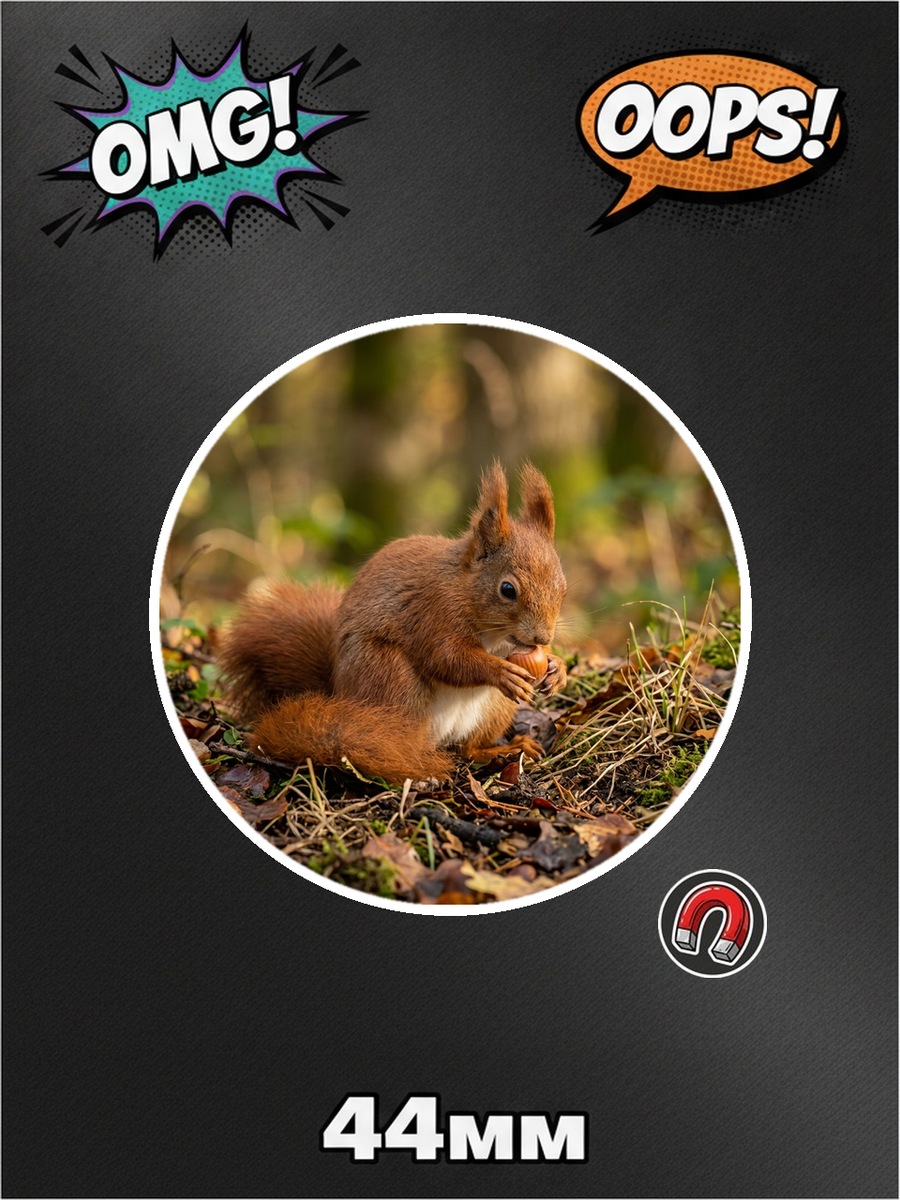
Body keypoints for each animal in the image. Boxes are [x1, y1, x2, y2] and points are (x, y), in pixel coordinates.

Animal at [217, 461, 568, 784]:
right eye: (507, 590)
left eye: (563, 587)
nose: (542, 637)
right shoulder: (433, 612)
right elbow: (446, 658)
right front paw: (500, 671)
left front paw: (557, 668)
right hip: (391, 680)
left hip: (493, 709)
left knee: (468, 749)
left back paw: (507, 748)